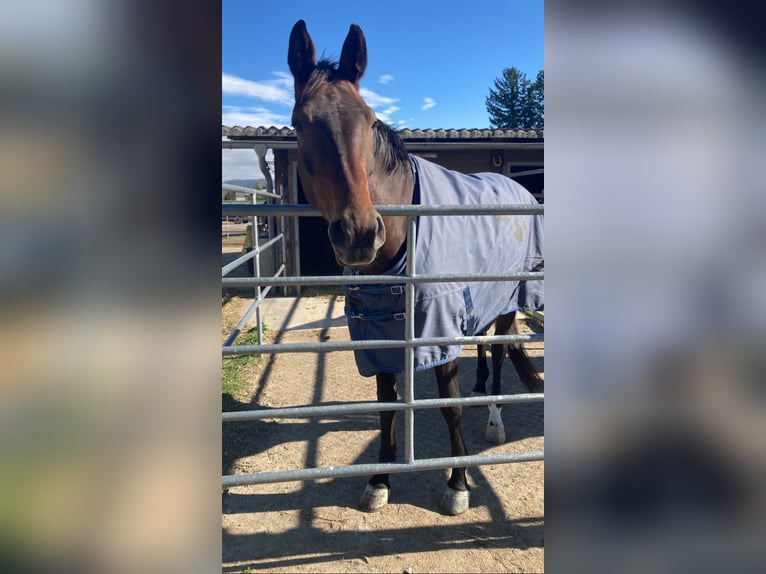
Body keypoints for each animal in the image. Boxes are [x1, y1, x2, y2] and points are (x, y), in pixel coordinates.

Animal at [288, 19, 544, 516]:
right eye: (299, 122)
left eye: (369, 120)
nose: (360, 232)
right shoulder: (380, 337)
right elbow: (387, 405)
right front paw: (380, 480)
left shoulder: (438, 330)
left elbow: (449, 407)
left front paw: (458, 483)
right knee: (483, 347)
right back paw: (481, 390)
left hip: (508, 303)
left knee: (500, 351)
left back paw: (495, 419)